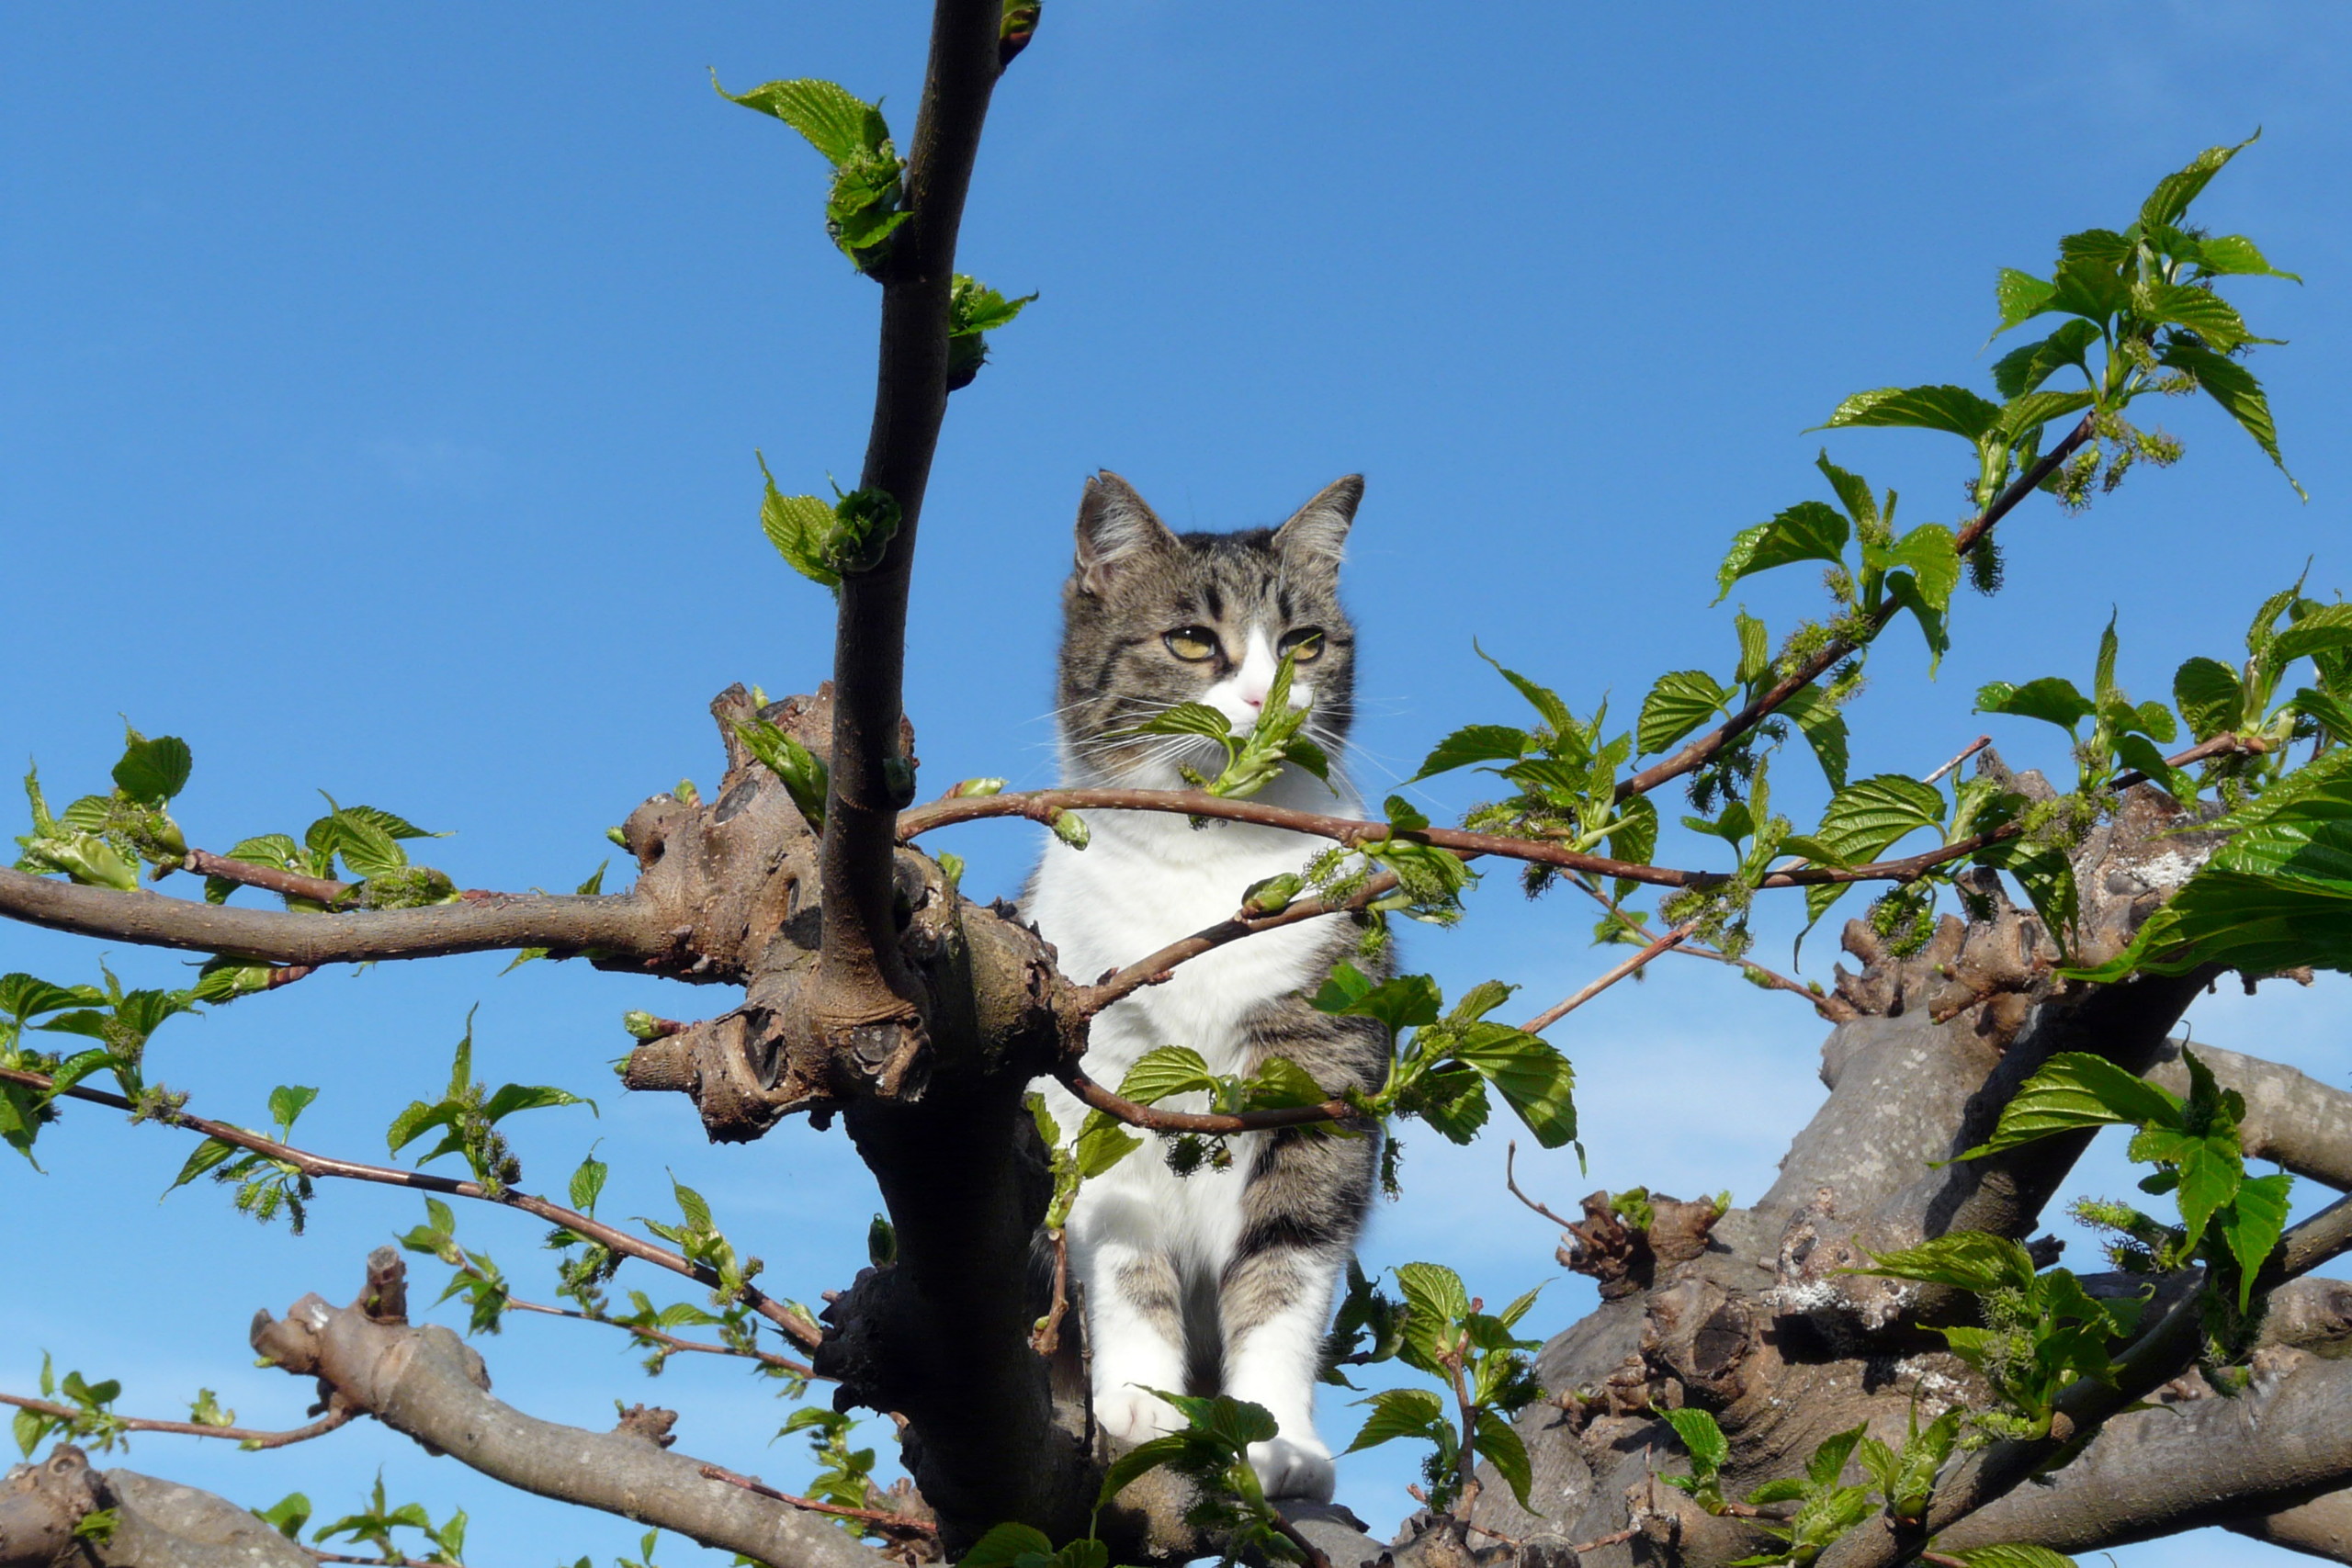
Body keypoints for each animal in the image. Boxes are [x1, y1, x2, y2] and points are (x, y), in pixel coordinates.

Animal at [1025, 472, 1383, 1504]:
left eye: (1303, 643)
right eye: (1192, 639)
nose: (1266, 696)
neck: (1206, 852)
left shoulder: (1319, 1074)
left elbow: (1286, 1266)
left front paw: (1278, 1440)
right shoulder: (1095, 1080)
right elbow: (1122, 1258)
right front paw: (1138, 1404)